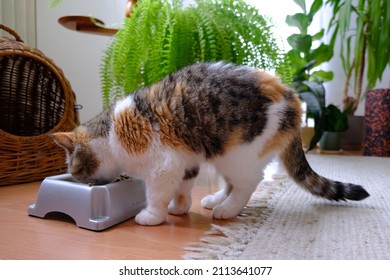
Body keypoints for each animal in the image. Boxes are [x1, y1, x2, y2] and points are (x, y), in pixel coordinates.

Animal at [50, 61, 370, 225]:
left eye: (75, 170)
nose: (83, 183)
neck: (112, 132)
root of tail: (291, 95)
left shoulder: (163, 167)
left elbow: (156, 194)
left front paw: (152, 216)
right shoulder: (186, 162)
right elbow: (183, 188)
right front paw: (180, 208)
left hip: (238, 153)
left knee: (248, 183)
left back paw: (227, 210)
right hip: (221, 153)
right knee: (232, 184)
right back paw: (216, 200)